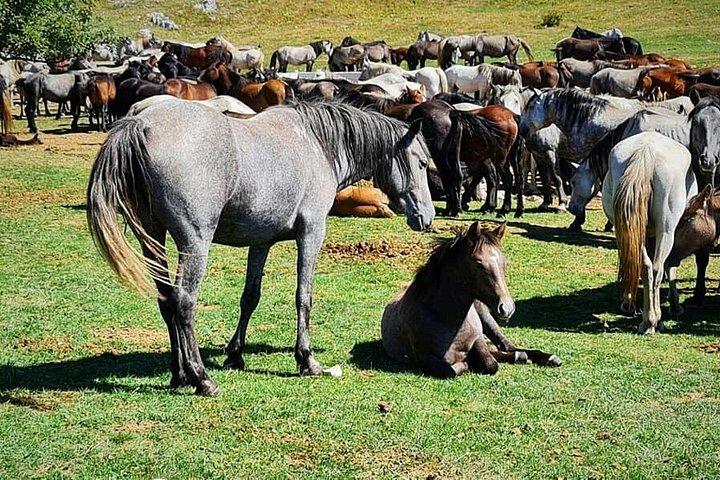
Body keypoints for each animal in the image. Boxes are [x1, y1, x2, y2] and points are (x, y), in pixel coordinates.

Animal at [86, 100, 434, 395]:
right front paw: (306, 359)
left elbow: (250, 297)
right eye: (420, 163)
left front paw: (235, 355)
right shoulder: (312, 233)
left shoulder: (261, 242)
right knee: (183, 302)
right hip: (194, 241)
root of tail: (142, 122)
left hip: (152, 237)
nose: (428, 217)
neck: (316, 145)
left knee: (166, 301)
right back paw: (201, 378)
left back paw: (179, 374)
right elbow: (303, 296)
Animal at [382, 221, 561, 377]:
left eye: (505, 263)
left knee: (507, 346)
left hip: (486, 318)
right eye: (478, 264)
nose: (507, 308)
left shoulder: (478, 339)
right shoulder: (424, 356)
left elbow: (490, 363)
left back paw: (548, 357)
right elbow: (451, 370)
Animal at [601, 132, 697, 333]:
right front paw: (675, 306)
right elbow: (669, 265)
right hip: (666, 230)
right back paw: (654, 320)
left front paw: (628, 303)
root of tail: (646, 153)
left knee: (645, 266)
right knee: (657, 267)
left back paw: (647, 320)